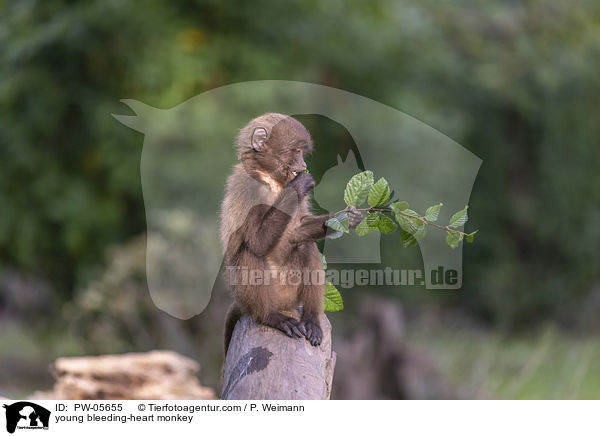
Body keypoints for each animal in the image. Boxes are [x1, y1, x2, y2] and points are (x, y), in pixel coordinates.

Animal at [220, 113, 360, 354]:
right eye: (296, 151)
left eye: (303, 152)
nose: (303, 165)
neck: (269, 178)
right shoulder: (247, 187)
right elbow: (256, 242)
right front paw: (298, 184)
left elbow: (297, 231)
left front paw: (347, 218)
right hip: (251, 295)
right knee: (249, 253)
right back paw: (270, 316)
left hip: (292, 293)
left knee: (306, 246)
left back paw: (311, 318)